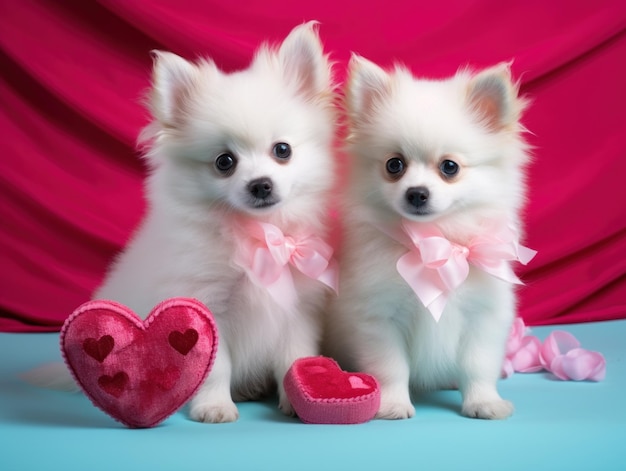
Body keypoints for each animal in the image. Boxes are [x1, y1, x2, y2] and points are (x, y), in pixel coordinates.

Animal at [94, 23, 336, 424]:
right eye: (225, 162)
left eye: (282, 150)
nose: (260, 184)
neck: (257, 236)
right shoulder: (204, 308)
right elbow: (215, 366)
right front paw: (214, 407)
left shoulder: (299, 309)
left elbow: (294, 356)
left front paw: (297, 399)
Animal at [324, 57, 532, 422]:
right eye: (394, 165)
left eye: (450, 167)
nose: (417, 193)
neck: (433, 246)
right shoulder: (378, 317)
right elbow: (391, 367)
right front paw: (393, 404)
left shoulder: (484, 315)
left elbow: (478, 365)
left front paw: (484, 402)